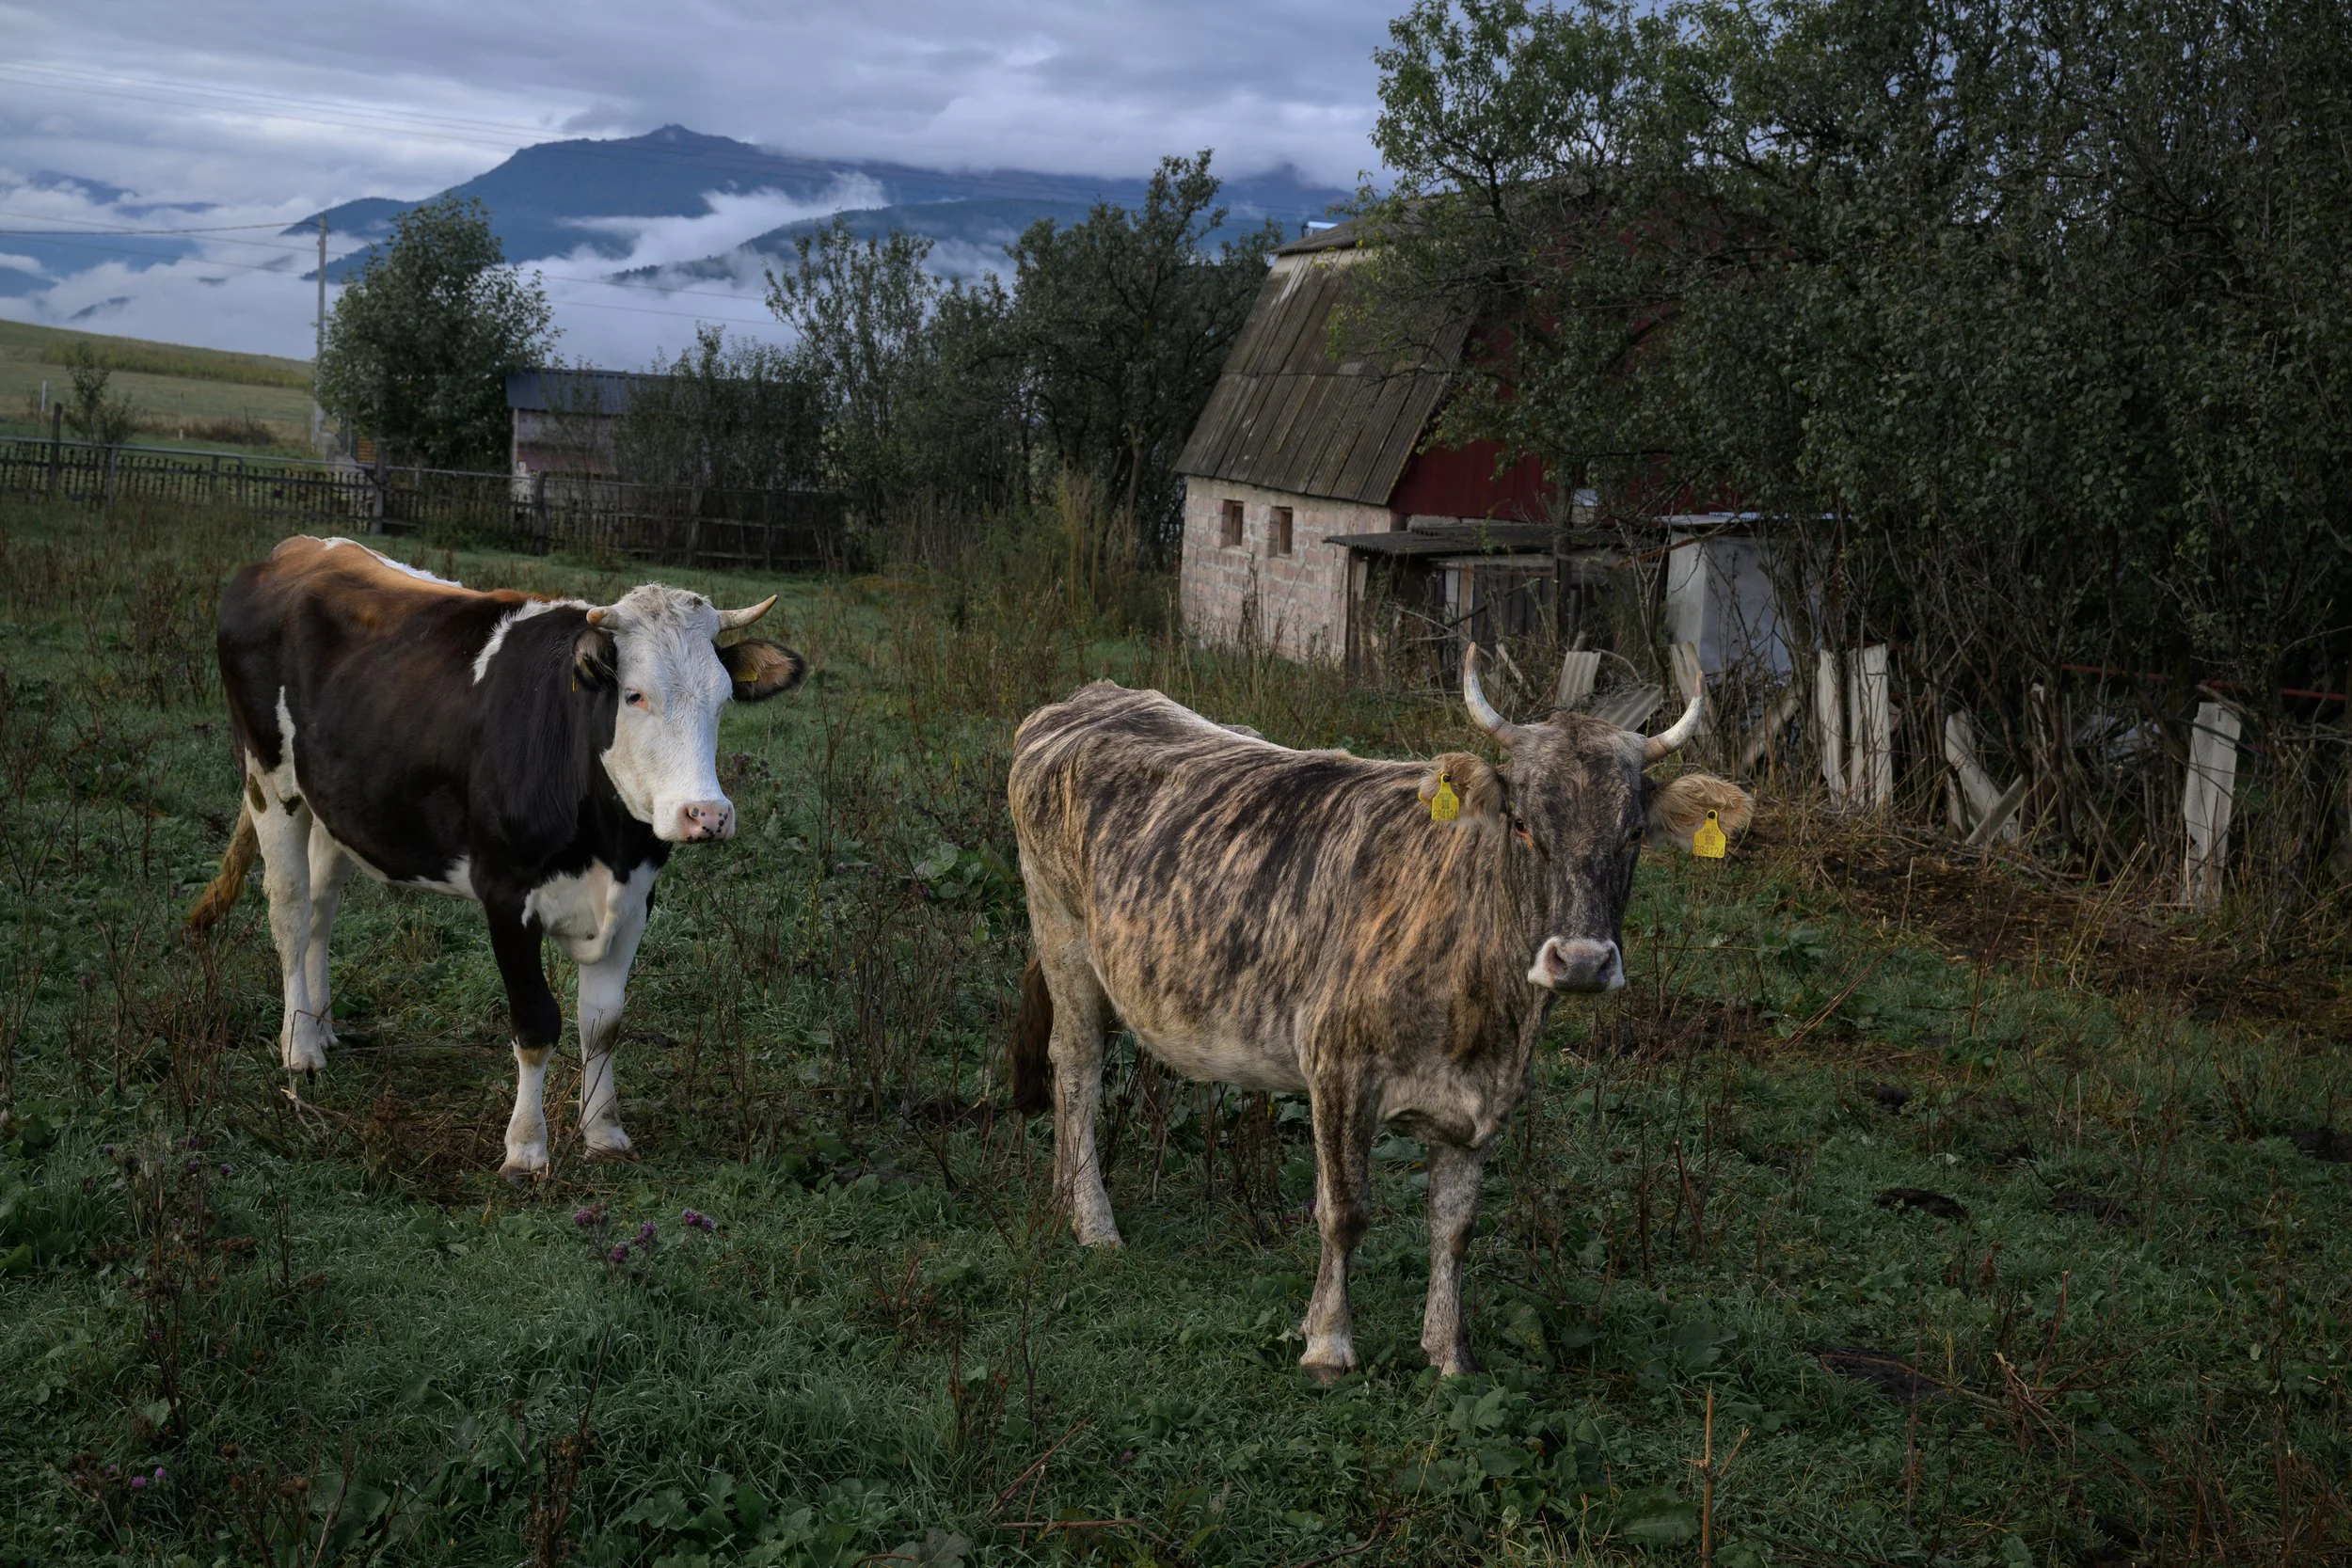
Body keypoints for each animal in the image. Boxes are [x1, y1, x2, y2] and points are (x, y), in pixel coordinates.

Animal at [187, 536, 805, 1176]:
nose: (706, 814)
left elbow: (602, 1024)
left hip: (336, 802)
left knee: (320, 909)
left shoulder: (637, 897)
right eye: (635, 695)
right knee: (288, 910)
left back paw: (322, 1024)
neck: (605, 843)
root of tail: (299, 548)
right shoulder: (507, 894)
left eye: (723, 699)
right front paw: (526, 1148)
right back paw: (300, 1047)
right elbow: (535, 1024)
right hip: (269, 780)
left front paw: (603, 1130)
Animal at [1006, 646, 1751, 1380]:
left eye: (1633, 834)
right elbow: (1345, 1212)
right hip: (1062, 934)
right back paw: (1093, 1220)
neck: (1484, 1015)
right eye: (1521, 824)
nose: (1584, 961)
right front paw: (1328, 1343)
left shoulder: (1485, 1097)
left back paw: (1061, 1194)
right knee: (1076, 1071)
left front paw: (1449, 1353)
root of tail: (1090, 698)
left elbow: (1454, 1226)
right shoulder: (1336, 1066)